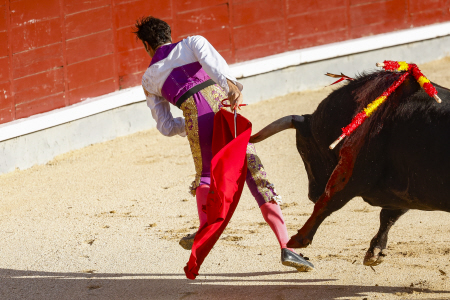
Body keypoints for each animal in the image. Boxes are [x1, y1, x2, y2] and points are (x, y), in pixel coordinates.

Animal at [251, 71, 450, 268]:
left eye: (303, 149)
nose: (311, 194)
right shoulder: (404, 190)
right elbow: (389, 216)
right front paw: (374, 253)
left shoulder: (350, 172)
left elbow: (327, 202)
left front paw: (297, 239)